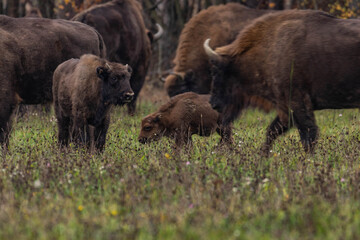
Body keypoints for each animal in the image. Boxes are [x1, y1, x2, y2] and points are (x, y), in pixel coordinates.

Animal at [204, 9, 360, 154]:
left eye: (216, 71)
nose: (212, 103)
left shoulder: (297, 102)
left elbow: (308, 135)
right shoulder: (286, 108)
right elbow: (272, 131)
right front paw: (263, 156)